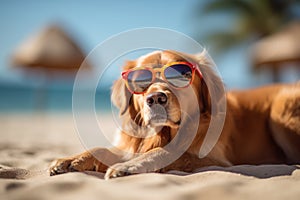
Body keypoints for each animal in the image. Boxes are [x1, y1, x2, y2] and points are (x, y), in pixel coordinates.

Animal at [49, 49, 300, 180]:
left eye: (180, 75)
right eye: (141, 80)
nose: (155, 99)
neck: (165, 132)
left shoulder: (215, 159)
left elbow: (166, 152)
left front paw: (129, 166)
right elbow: (100, 149)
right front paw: (70, 160)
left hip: (281, 107)